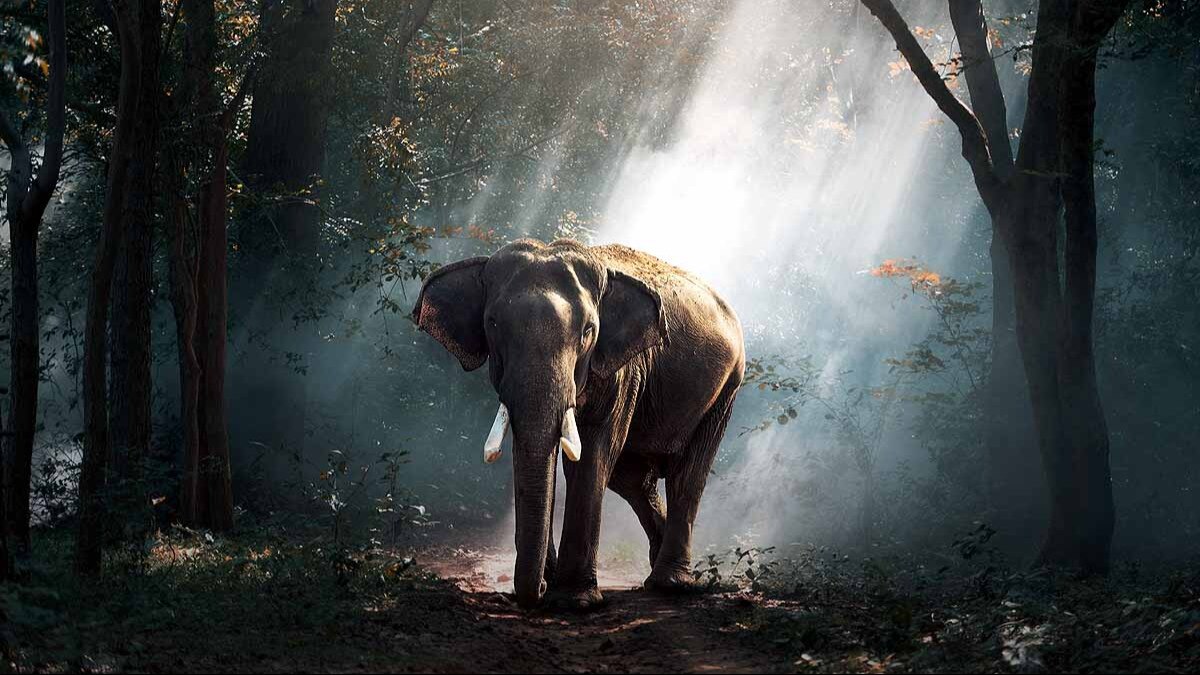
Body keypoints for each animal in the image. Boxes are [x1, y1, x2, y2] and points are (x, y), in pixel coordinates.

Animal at [412, 238, 744, 609]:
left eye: (588, 331)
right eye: (493, 324)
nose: (538, 590)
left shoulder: (622, 370)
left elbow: (592, 456)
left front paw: (574, 601)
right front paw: (552, 584)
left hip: (726, 388)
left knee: (686, 476)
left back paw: (670, 584)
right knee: (632, 479)